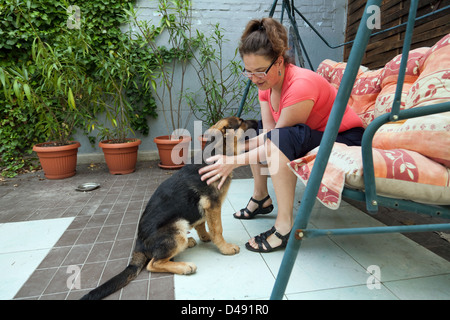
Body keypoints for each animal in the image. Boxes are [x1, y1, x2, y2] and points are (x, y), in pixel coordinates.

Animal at [80, 117, 256, 300]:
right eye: (241, 122)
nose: (258, 122)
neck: (216, 154)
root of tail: (139, 244)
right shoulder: (213, 205)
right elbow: (218, 230)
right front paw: (224, 247)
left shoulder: (205, 208)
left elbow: (202, 223)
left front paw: (205, 236)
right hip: (177, 226)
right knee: (153, 264)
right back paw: (184, 266)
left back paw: (189, 242)